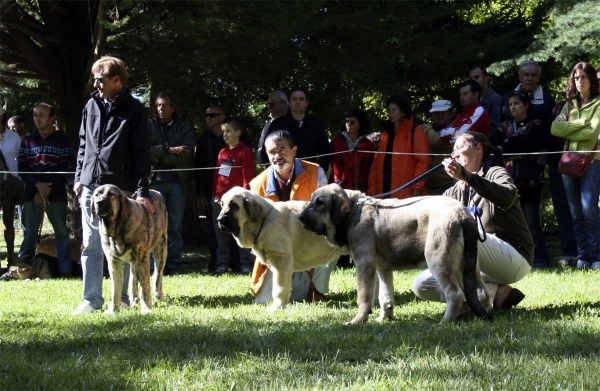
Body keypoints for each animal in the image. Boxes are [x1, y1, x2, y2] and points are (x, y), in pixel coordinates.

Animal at [90, 185, 168, 316]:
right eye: (97, 194)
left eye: (111, 194)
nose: (99, 202)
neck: (116, 230)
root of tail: (155, 191)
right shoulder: (113, 262)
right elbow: (115, 289)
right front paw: (113, 310)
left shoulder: (142, 258)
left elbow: (145, 287)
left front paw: (146, 308)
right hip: (134, 262)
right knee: (133, 277)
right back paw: (134, 297)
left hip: (161, 249)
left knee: (158, 274)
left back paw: (159, 296)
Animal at [298, 184, 490, 324]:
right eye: (311, 200)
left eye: (320, 203)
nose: (300, 217)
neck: (354, 212)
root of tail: (462, 214)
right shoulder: (382, 269)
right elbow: (385, 297)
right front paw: (384, 319)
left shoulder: (364, 264)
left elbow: (364, 297)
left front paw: (358, 321)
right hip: (468, 267)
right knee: (482, 292)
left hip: (439, 260)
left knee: (455, 294)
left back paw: (445, 321)